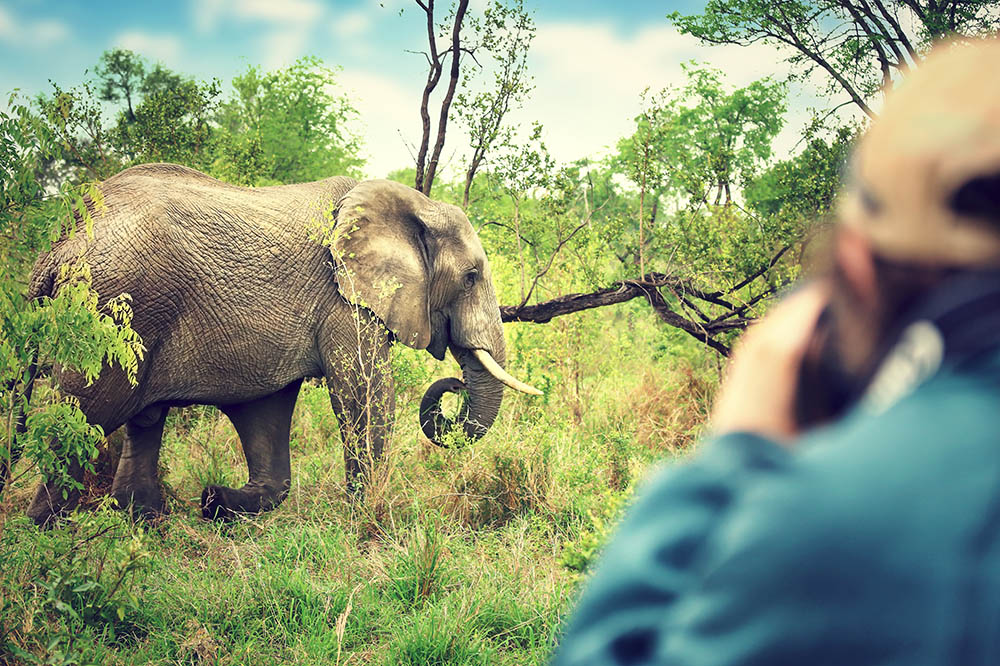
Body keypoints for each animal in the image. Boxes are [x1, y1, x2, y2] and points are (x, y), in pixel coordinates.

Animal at [11, 162, 540, 524]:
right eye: (471, 276)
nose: (454, 385)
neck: (413, 205)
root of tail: (59, 244)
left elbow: (266, 417)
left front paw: (217, 500)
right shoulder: (342, 295)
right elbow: (364, 394)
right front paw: (367, 515)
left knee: (143, 421)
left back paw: (143, 521)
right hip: (112, 313)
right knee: (83, 420)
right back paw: (44, 532)